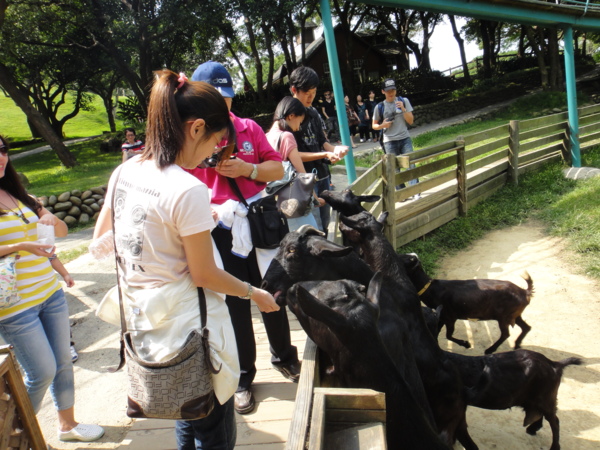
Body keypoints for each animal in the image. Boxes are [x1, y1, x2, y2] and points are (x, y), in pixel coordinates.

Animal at [401, 252, 534, 354]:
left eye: (406, 259)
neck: (432, 289)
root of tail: (525, 292)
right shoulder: (441, 317)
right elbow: (437, 331)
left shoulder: (450, 317)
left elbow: (448, 335)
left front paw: (466, 344)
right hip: (515, 315)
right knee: (526, 327)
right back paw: (517, 345)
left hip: (504, 317)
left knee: (506, 334)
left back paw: (490, 350)